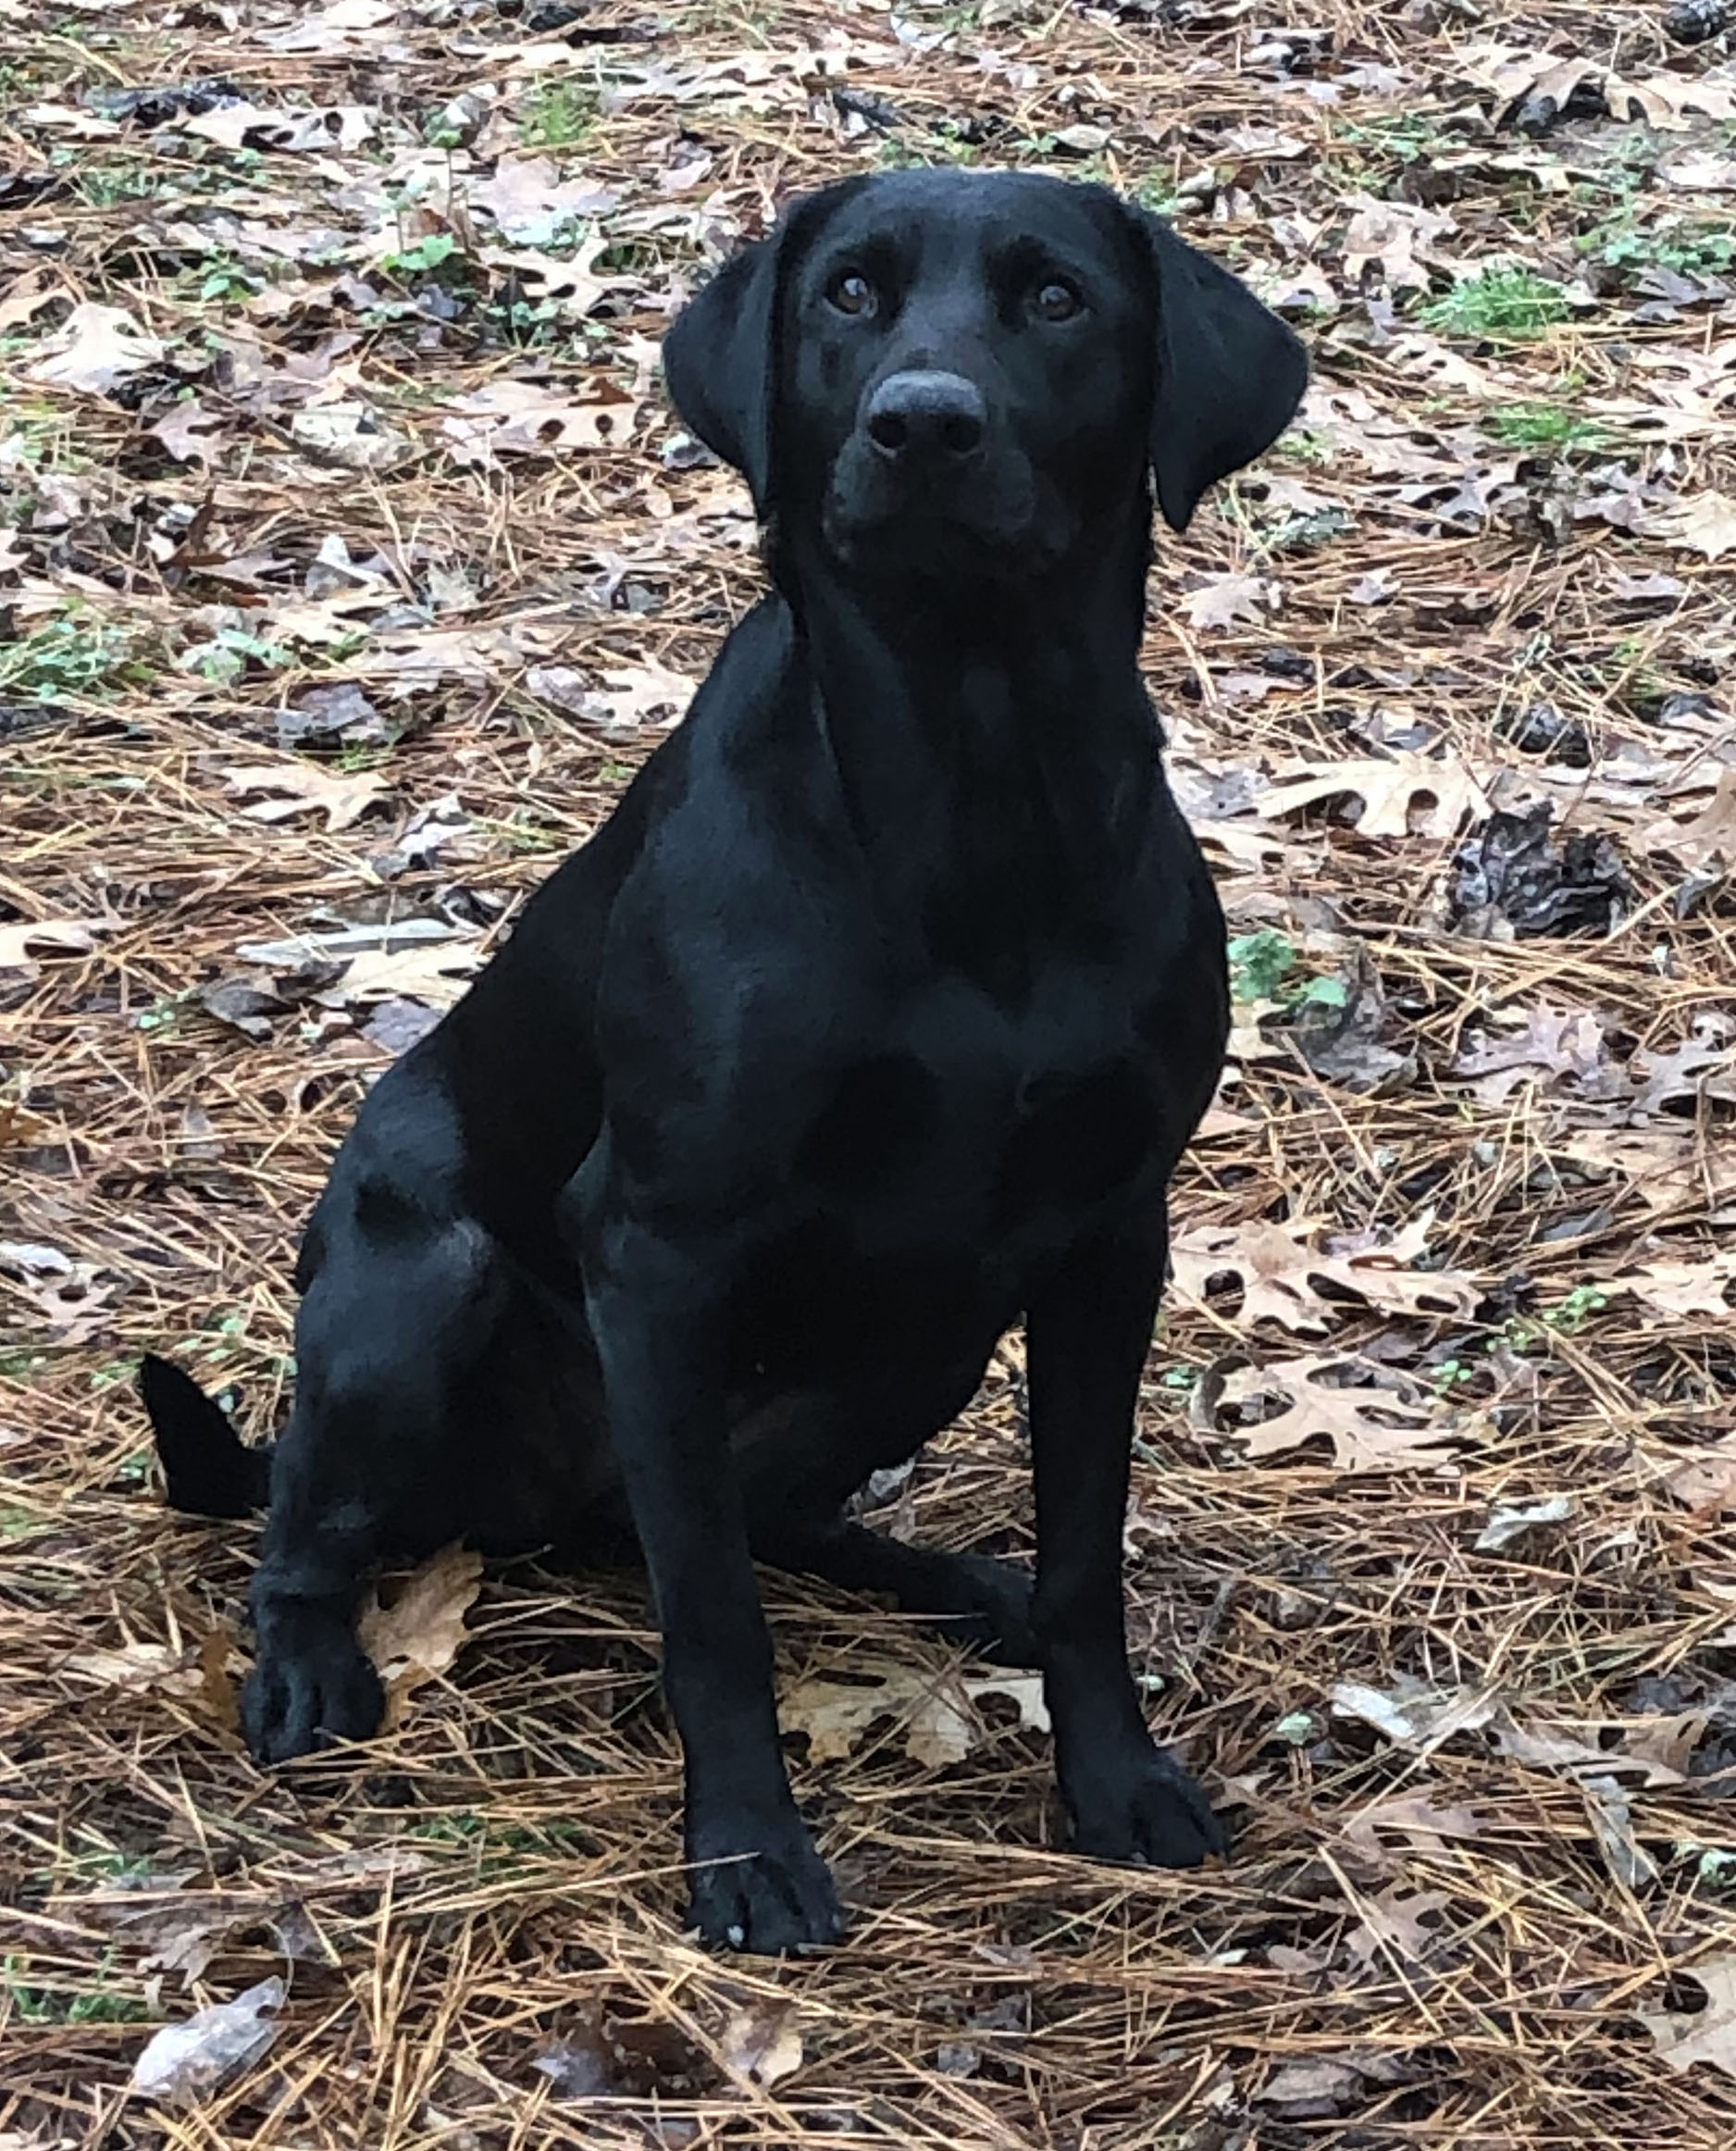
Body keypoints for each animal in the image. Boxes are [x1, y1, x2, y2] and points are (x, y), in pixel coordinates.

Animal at [146, 171, 1308, 1953]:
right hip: (423, 1288)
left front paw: (1112, 1778)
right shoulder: (657, 1250)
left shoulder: (1111, 1238)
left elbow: (1083, 1555)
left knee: (738, 1523)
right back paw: (306, 1670)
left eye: (1056, 299)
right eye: (849, 295)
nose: (922, 423)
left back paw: (948, 1581)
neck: (976, 792)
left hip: (917, 1348)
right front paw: (750, 1852)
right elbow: (711, 1618)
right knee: (326, 1521)